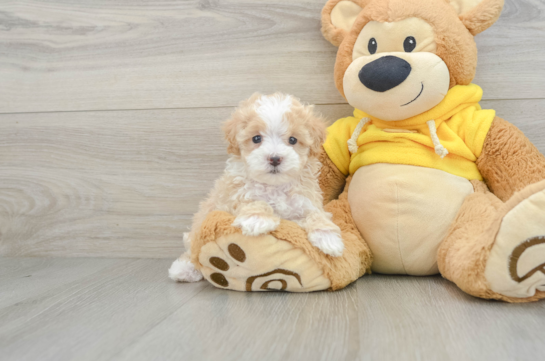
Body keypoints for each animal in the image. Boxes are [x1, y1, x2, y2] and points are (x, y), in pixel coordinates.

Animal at [168, 92, 342, 282]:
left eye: (293, 140)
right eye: (256, 138)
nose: (275, 158)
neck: (275, 186)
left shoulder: (306, 201)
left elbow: (317, 214)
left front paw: (328, 237)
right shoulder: (233, 197)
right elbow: (252, 200)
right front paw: (257, 219)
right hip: (200, 222)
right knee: (193, 249)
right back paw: (183, 268)